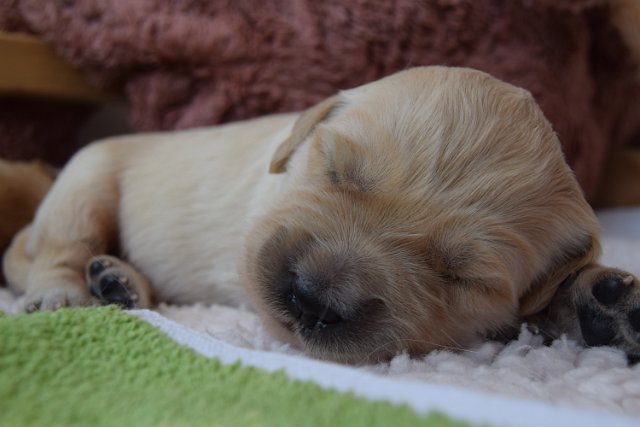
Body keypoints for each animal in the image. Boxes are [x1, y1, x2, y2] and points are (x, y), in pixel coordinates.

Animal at [3, 66, 640, 364]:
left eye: (461, 277)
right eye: (336, 169)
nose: (311, 300)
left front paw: (600, 302)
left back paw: (118, 282)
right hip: (88, 174)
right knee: (57, 245)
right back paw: (68, 291)